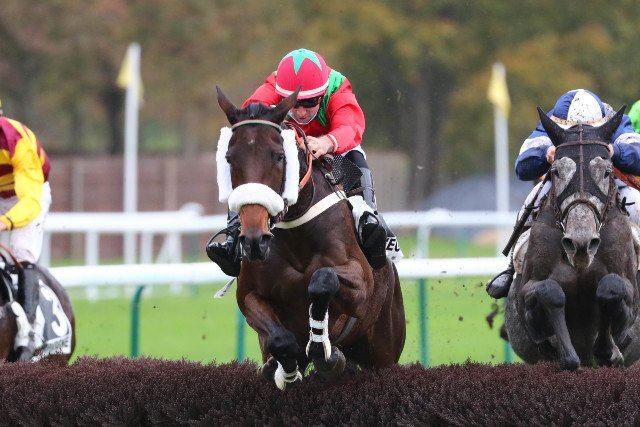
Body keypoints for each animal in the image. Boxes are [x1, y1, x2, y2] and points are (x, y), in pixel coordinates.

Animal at [215, 86, 405, 389]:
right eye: (230, 158)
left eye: (279, 156)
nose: (255, 239)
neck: (296, 230)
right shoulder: (249, 295)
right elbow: (280, 340)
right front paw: (285, 371)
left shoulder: (359, 283)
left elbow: (322, 280)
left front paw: (324, 351)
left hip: (384, 349)